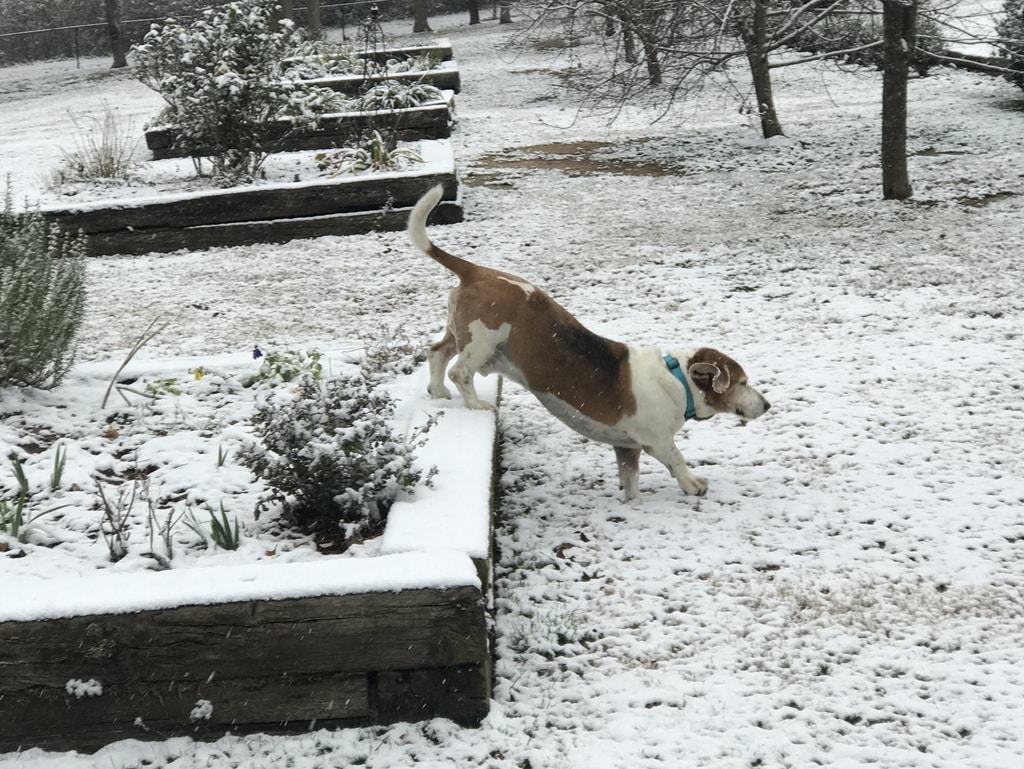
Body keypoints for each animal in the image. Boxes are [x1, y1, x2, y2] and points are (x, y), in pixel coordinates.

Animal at [405, 185, 770, 499]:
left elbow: (631, 483)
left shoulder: (626, 449)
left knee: (436, 353)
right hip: (482, 341)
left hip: (463, 335)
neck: (678, 380)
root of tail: (476, 271)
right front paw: (693, 484)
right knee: (460, 372)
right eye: (742, 382)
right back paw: (475, 404)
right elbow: (677, 459)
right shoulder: (658, 442)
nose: (767, 405)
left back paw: (438, 390)